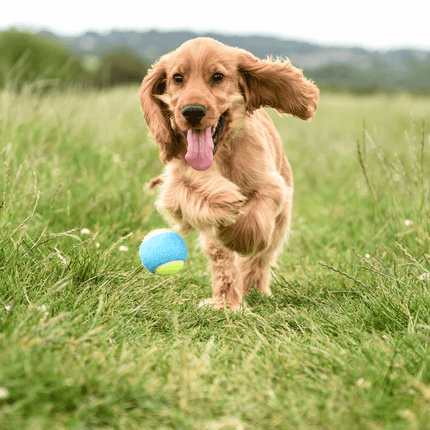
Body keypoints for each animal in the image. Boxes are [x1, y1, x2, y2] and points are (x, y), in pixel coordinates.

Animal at [139, 37, 318, 310]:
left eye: (217, 77)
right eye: (178, 78)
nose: (192, 112)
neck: (222, 152)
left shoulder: (271, 184)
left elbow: (253, 220)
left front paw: (238, 236)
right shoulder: (178, 181)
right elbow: (197, 188)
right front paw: (225, 202)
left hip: (280, 223)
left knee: (259, 259)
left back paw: (254, 290)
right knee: (222, 262)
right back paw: (226, 302)